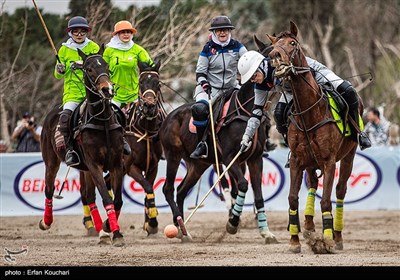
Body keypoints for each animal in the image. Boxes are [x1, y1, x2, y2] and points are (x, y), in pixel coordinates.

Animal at [39, 47, 126, 246]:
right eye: (89, 69)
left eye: (107, 65)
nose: (108, 90)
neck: (102, 121)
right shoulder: (95, 165)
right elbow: (107, 198)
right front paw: (115, 232)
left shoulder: (116, 164)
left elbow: (117, 200)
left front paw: (111, 229)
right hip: (52, 161)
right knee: (49, 190)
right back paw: (46, 222)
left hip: (85, 169)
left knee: (89, 196)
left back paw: (101, 231)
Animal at [158, 81, 276, 243]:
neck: (246, 113)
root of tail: (167, 117)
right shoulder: (229, 158)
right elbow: (243, 184)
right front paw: (233, 223)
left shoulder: (255, 159)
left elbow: (258, 194)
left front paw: (266, 232)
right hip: (173, 155)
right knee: (168, 188)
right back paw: (179, 225)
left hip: (198, 165)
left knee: (181, 190)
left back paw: (183, 231)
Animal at [268, 21, 360, 254]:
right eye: (274, 45)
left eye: (292, 43)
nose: (274, 56)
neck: (310, 113)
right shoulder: (297, 160)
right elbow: (292, 198)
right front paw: (295, 240)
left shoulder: (329, 161)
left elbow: (326, 200)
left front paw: (326, 240)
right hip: (310, 162)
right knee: (312, 184)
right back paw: (309, 228)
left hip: (349, 156)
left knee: (340, 191)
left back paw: (337, 237)